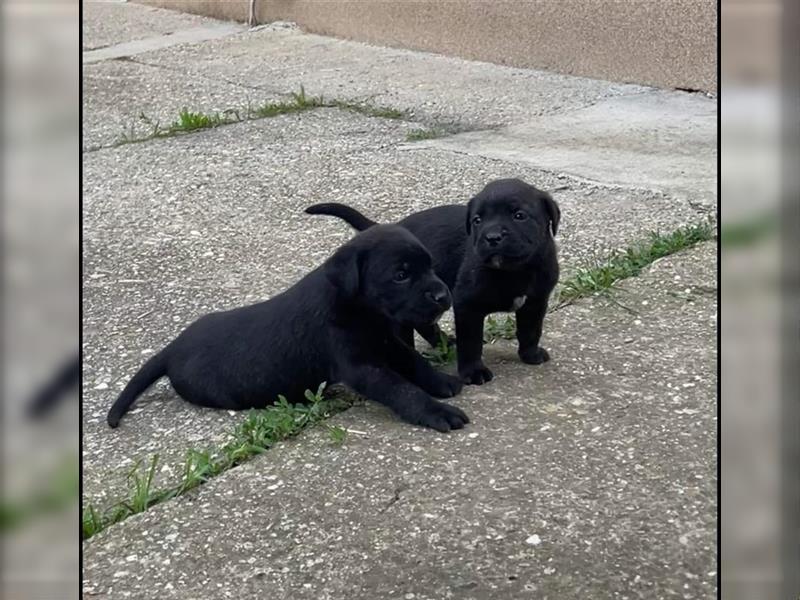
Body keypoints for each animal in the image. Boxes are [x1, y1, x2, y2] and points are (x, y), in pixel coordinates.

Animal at [106, 225, 468, 432]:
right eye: (401, 275)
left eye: (430, 265)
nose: (443, 296)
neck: (355, 307)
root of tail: (171, 349)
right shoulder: (362, 365)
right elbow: (401, 389)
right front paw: (437, 412)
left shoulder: (386, 341)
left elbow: (414, 363)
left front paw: (442, 382)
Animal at [306, 177, 564, 384]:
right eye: (477, 220)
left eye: (519, 216)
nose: (492, 237)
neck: (514, 271)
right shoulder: (467, 306)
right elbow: (471, 342)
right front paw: (473, 372)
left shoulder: (536, 301)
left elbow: (531, 329)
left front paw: (530, 355)